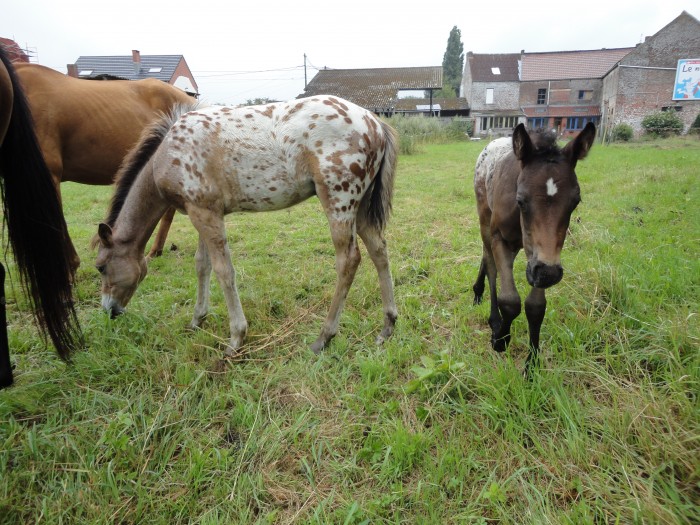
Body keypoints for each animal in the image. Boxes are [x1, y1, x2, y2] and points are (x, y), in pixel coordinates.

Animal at [95, 96, 396, 354]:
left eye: (101, 267)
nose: (109, 311)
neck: (167, 155)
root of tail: (374, 121)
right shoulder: (203, 210)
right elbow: (202, 265)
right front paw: (197, 320)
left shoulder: (204, 213)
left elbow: (223, 270)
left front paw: (236, 338)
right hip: (362, 206)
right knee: (379, 250)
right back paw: (387, 327)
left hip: (339, 201)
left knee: (349, 260)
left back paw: (324, 337)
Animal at [470, 121, 596, 370]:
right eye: (521, 200)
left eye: (575, 202)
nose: (550, 273)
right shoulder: (500, 238)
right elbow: (510, 299)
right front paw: (500, 338)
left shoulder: (540, 259)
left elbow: (535, 307)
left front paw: (532, 363)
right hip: (484, 216)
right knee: (490, 263)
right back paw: (491, 313)